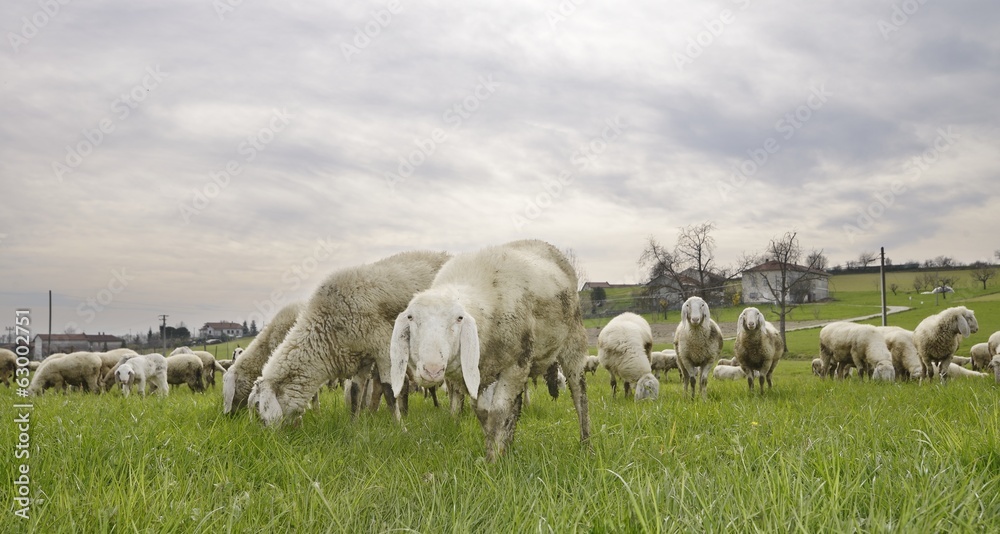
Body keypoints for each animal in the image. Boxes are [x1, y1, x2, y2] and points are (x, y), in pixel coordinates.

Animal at [250, 250, 450, 427]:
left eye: (259, 410)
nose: (266, 437)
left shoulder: (383, 347)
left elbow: (389, 390)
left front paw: (401, 428)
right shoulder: (361, 354)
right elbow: (355, 392)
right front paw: (353, 426)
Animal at [388, 239, 590, 461]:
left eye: (459, 318)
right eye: (410, 317)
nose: (432, 370)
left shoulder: (516, 365)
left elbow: (498, 413)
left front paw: (494, 461)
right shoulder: (481, 374)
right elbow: (484, 413)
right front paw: (494, 453)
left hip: (574, 340)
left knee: (579, 394)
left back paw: (586, 444)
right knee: (516, 405)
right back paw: (509, 446)